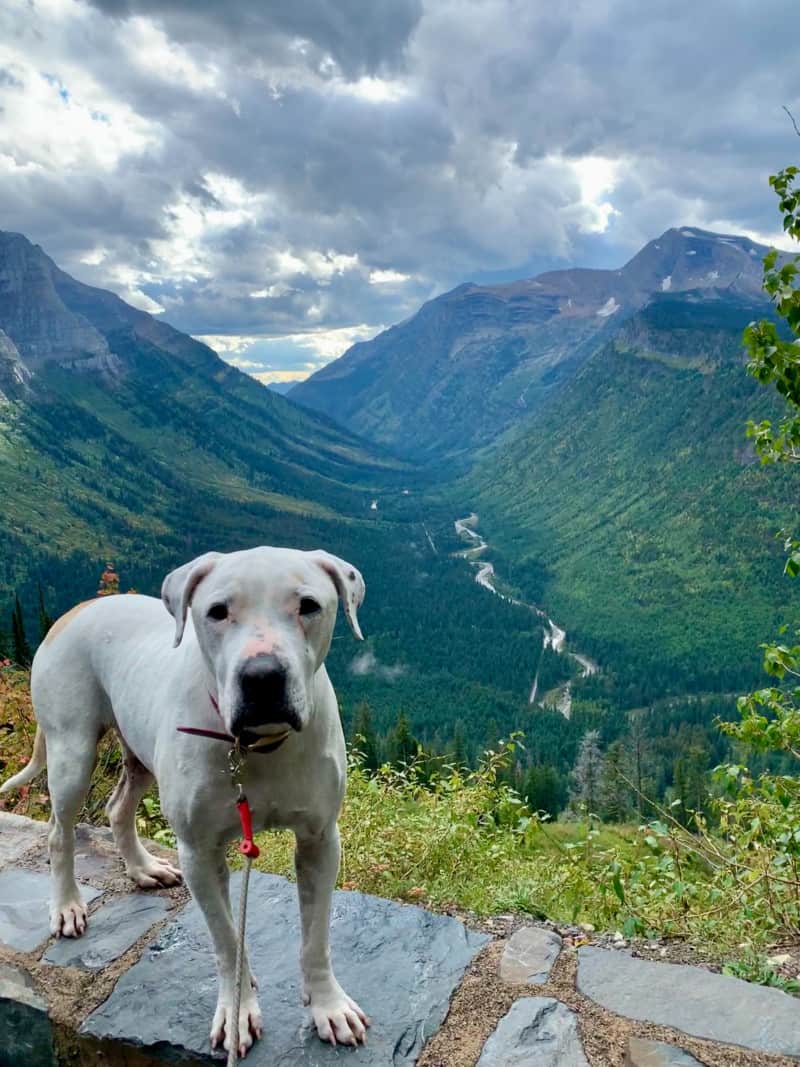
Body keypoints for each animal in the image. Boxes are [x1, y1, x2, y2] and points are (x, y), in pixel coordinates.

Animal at [0, 546, 369, 1054]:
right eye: (217, 611)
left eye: (309, 605)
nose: (262, 677)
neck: (255, 746)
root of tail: (80, 609)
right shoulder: (200, 853)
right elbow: (227, 940)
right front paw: (238, 1009)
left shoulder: (319, 841)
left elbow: (316, 938)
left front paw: (328, 1006)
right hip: (70, 749)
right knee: (60, 832)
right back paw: (68, 905)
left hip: (138, 752)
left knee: (118, 807)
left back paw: (142, 868)